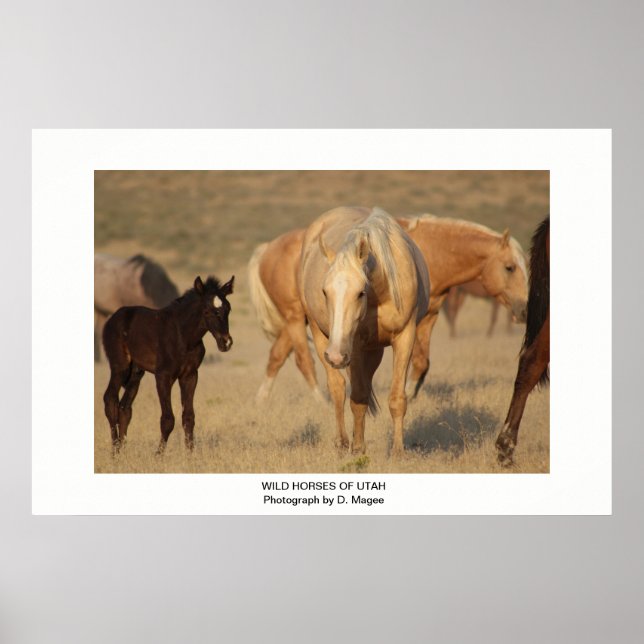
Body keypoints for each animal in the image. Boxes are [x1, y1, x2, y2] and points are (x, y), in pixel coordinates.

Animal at [102, 275, 234, 454]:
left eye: (228, 309)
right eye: (207, 311)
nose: (226, 342)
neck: (183, 336)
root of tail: (111, 320)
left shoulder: (190, 375)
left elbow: (188, 417)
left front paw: (190, 454)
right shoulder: (163, 376)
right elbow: (167, 419)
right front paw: (159, 455)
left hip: (136, 373)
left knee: (125, 408)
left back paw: (122, 451)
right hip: (120, 367)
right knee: (110, 399)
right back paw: (115, 451)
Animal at [249, 213, 527, 402]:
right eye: (510, 267)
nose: (525, 310)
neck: (430, 251)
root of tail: (267, 249)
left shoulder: (428, 318)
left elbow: (422, 363)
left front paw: (410, 395)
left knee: (276, 356)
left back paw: (262, 401)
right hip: (296, 320)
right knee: (304, 361)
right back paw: (322, 403)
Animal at [298, 206, 429, 456]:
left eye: (360, 292)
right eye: (325, 291)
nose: (336, 356)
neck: (381, 291)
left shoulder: (405, 337)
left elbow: (397, 398)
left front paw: (398, 450)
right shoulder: (355, 344)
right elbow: (357, 396)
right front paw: (358, 447)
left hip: (372, 350)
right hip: (324, 339)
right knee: (338, 388)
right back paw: (343, 442)